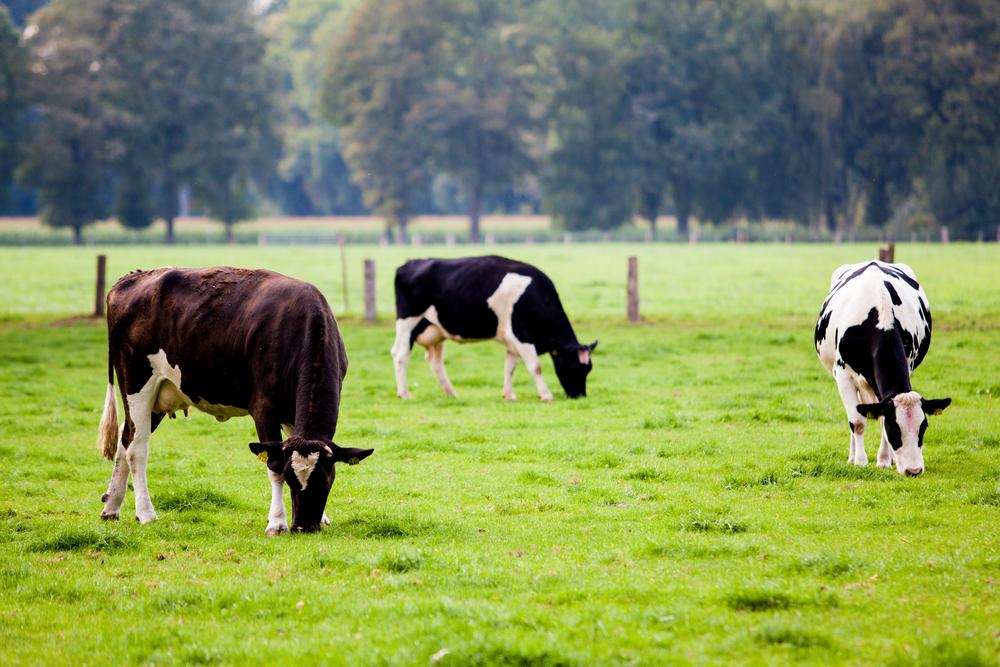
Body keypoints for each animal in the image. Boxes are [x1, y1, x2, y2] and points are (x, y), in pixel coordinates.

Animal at [95, 268, 372, 536]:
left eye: (325, 481)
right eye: (291, 479)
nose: (303, 526)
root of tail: (132, 278)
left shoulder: (294, 417)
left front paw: (321, 517)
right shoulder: (264, 409)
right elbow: (273, 464)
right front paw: (277, 522)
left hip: (158, 395)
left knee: (125, 437)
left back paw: (112, 506)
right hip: (136, 382)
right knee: (136, 448)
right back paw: (146, 513)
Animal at [388, 256, 592, 402]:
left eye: (589, 368)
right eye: (574, 365)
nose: (580, 395)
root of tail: (410, 263)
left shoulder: (512, 341)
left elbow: (510, 367)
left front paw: (508, 395)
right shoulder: (522, 336)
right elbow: (536, 366)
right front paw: (546, 394)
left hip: (436, 329)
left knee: (435, 361)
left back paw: (451, 393)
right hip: (408, 322)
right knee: (400, 354)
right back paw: (404, 393)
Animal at [812, 260, 952, 474]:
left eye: (924, 427)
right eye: (894, 428)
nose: (913, 470)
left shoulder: (906, 365)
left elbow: (878, 418)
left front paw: (885, 460)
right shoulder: (843, 375)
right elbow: (857, 422)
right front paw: (860, 461)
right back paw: (852, 456)